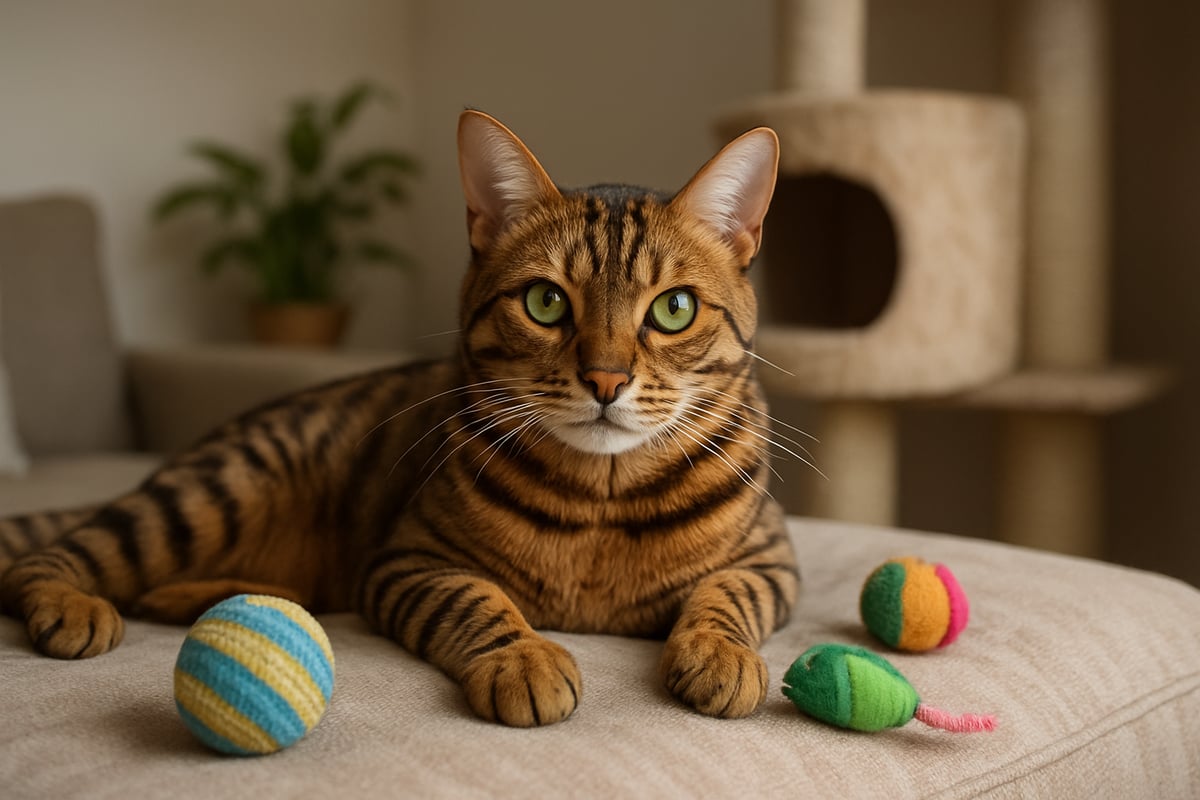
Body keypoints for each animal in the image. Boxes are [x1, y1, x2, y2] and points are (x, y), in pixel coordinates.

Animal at [0, 110, 799, 727]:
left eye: (674, 309)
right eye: (545, 302)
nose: (606, 379)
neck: (603, 500)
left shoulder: (772, 561)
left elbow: (726, 595)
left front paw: (720, 653)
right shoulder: (408, 561)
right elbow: (476, 601)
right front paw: (523, 656)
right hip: (209, 494)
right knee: (46, 559)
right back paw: (75, 606)